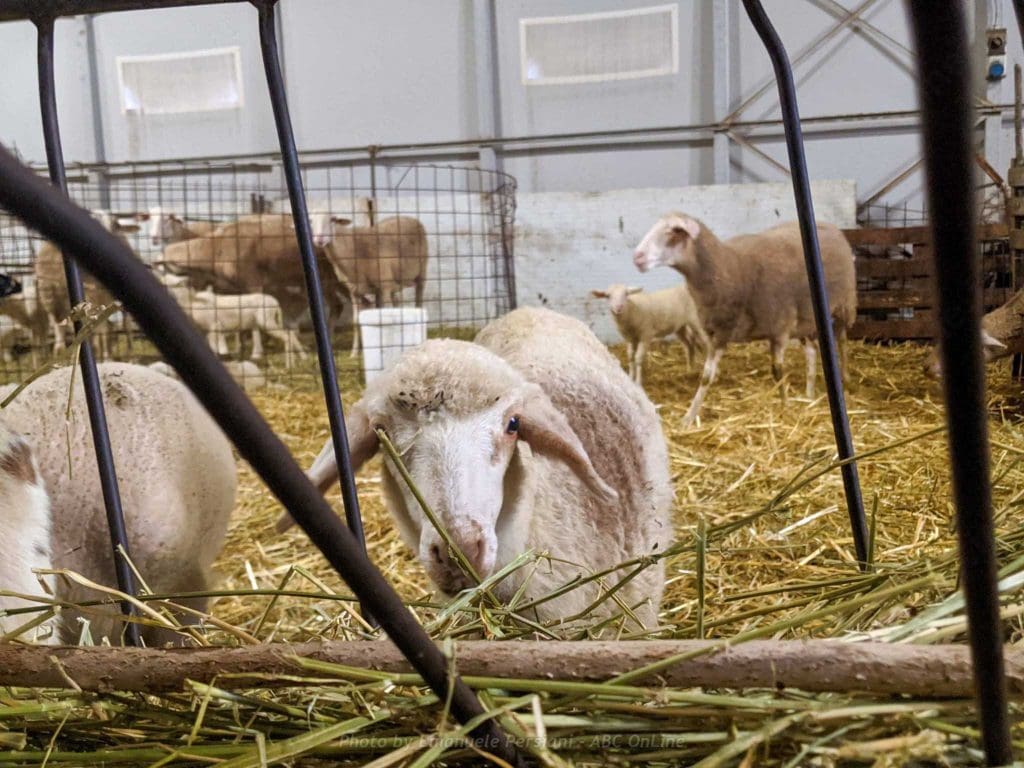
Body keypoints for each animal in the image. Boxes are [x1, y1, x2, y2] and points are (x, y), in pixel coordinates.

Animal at [309, 214, 425, 358]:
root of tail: (409, 218)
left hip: (421, 272)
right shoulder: (354, 291)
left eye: (332, 220)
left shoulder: (384, 287)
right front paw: (354, 353)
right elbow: (356, 321)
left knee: (419, 300)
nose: (319, 239)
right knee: (397, 302)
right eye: (310, 221)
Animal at [630, 214, 856, 423]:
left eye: (674, 232)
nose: (637, 257)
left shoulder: (779, 329)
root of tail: (829, 225)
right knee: (811, 351)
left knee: (842, 341)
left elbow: (777, 371)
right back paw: (809, 395)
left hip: (843, 305)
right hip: (804, 319)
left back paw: (845, 378)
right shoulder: (719, 332)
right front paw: (689, 417)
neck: (729, 267)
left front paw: (784, 407)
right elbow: (706, 377)